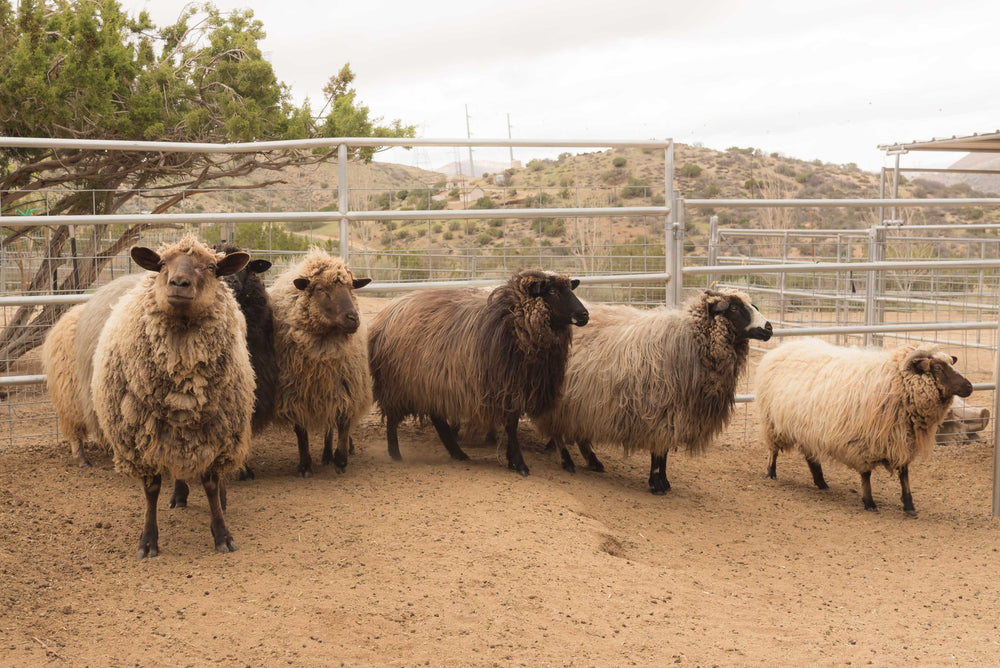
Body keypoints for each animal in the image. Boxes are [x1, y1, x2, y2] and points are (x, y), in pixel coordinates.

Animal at [91, 236, 254, 560]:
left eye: (211, 266)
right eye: (163, 263)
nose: (179, 283)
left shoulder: (215, 433)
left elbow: (211, 483)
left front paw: (222, 534)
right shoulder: (140, 441)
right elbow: (152, 489)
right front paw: (148, 541)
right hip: (173, 433)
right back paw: (178, 495)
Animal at [268, 248, 374, 478]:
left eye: (351, 287)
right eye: (319, 289)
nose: (353, 318)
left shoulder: (346, 386)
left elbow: (342, 423)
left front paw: (341, 460)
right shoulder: (294, 393)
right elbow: (301, 431)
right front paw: (305, 465)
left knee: (332, 423)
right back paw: (325, 455)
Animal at [370, 266, 588, 474]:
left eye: (570, 289)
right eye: (552, 291)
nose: (584, 315)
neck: (511, 323)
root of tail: (388, 312)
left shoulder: (517, 386)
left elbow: (511, 425)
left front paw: (512, 459)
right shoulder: (505, 388)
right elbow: (511, 426)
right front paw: (519, 463)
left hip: (429, 382)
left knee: (437, 418)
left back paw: (457, 453)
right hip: (397, 383)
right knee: (393, 419)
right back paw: (395, 454)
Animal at [532, 290, 772, 494]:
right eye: (734, 308)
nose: (769, 327)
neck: (691, 340)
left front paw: (663, 482)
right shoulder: (661, 411)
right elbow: (659, 452)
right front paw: (658, 483)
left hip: (583, 401)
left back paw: (593, 462)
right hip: (561, 400)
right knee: (559, 431)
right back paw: (568, 461)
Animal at [760, 340, 972, 516]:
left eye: (951, 363)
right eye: (937, 367)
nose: (969, 387)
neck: (896, 382)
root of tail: (783, 347)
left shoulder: (902, 439)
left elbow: (904, 474)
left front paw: (909, 505)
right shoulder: (863, 442)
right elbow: (866, 474)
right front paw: (869, 502)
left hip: (806, 427)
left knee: (811, 456)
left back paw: (821, 482)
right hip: (772, 422)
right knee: (773, 450)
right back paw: (771, 473)